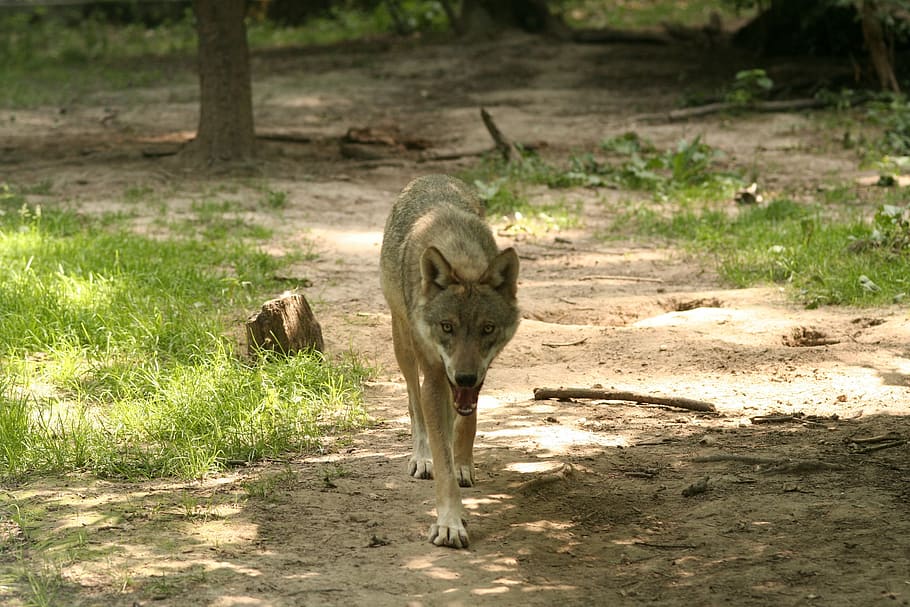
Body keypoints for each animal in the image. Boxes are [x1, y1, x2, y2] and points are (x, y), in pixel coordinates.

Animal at [380, 174, 520, 548]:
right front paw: (449, 523)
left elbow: (467, 422)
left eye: (487, 328)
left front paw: (462, 464)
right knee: (415, 406)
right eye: (447, 327)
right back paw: (421, 457)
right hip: (405, 348)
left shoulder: (478, 374)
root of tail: (430, 176)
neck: (461, 253)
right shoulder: (433, 373)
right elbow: (441, 458)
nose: (465, 377)